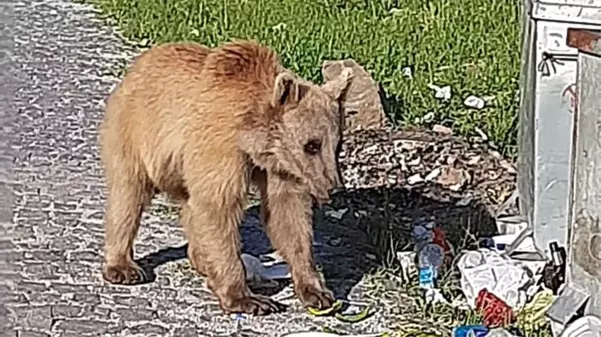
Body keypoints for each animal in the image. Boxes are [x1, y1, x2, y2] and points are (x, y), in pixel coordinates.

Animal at [98, 40, 352, 316]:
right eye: (312, 145)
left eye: (337, 145)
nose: (335, 188)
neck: (254, 141)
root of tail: (136, 68)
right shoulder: (221, 148)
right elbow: (218, 208)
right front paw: (248, 299)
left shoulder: (281, 167)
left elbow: (288, 216)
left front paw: (317, 292)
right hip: (135, 134)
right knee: (128, 196)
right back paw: (123, 267)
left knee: (189, 208)